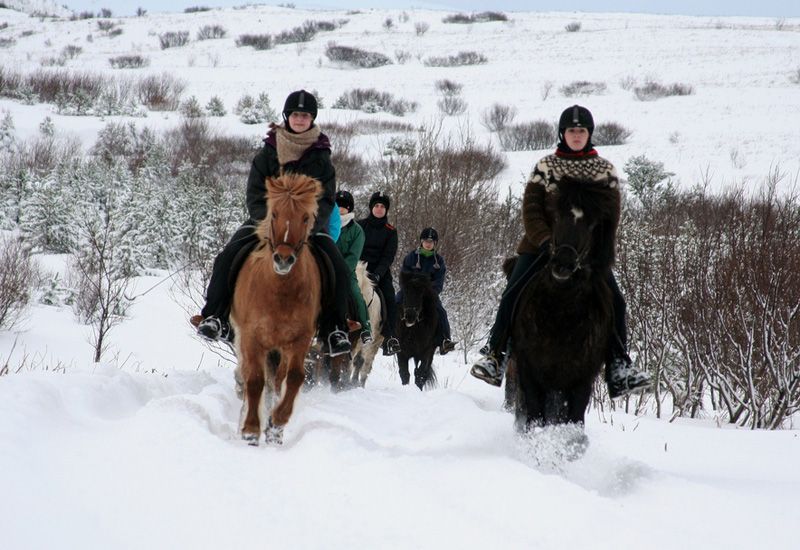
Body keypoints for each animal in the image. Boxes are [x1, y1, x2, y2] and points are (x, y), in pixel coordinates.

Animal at [230, 175, 320, 446]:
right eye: (275, 214)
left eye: (305, 217)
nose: (283, 259)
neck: (280, 292)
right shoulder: (252, 337)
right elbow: (254, 381)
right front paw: (250, 430)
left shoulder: (299, 340)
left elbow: (294, 378)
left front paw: (277, 422)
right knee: (250, 378)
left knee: (276, 383)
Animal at [506, 178, 620, 458]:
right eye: (556, 215)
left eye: (592, 223)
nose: (563, 264)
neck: (560, 316)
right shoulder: (529, 371)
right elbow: (533, 419)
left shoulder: (582, 377)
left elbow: (573, 423)